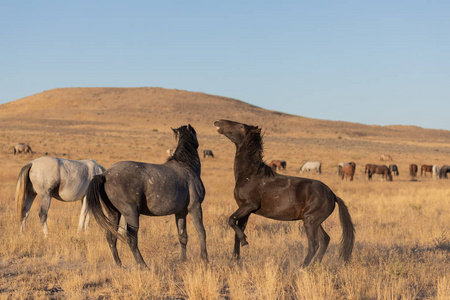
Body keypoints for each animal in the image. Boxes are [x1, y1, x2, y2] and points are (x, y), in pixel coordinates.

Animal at [86, 124, 207, 268]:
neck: (186, 167)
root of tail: (105, 174)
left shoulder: (180, 213)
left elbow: (182, 236)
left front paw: (183, 261)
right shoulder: (195, 207)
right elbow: (201, 232)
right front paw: (204, 258)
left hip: (114, 213)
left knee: (111, 237)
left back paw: (119, 264)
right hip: (131, 213)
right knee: (131, 239)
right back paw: (143, 265)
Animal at [214, 119, 356, 268]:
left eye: (241, 126)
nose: (218, 122)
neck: (250, 174)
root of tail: (333, 195)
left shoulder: (249, 206)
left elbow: (230, 220)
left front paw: (245, 242)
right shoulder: (245, 210)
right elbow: (236, 229)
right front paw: (235, 257)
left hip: (310, 221)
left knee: (314, 244)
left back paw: (302, 268)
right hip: (315, 221)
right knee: (325, 240)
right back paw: (315, 266)